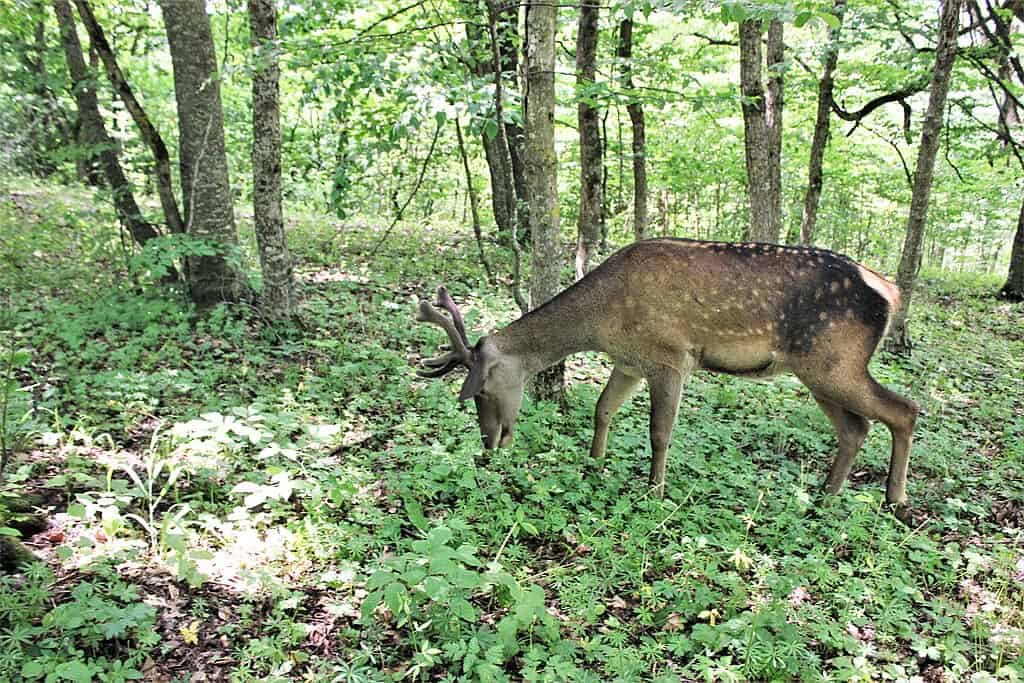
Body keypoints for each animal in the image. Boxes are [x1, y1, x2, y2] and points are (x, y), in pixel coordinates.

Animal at [413, 238, 920, 517]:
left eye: (481, 389)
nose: (490, 442)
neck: (602, 320)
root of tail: (891, 291)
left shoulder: (669, 357)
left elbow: (660, 432)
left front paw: (654, 491)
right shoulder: (629, 362)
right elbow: (602, 409)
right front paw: (594, 463)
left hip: (835, 361)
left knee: (905, 409)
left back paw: (894, 499)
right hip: (817, 369)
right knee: (857, 427)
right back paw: (824, 496)